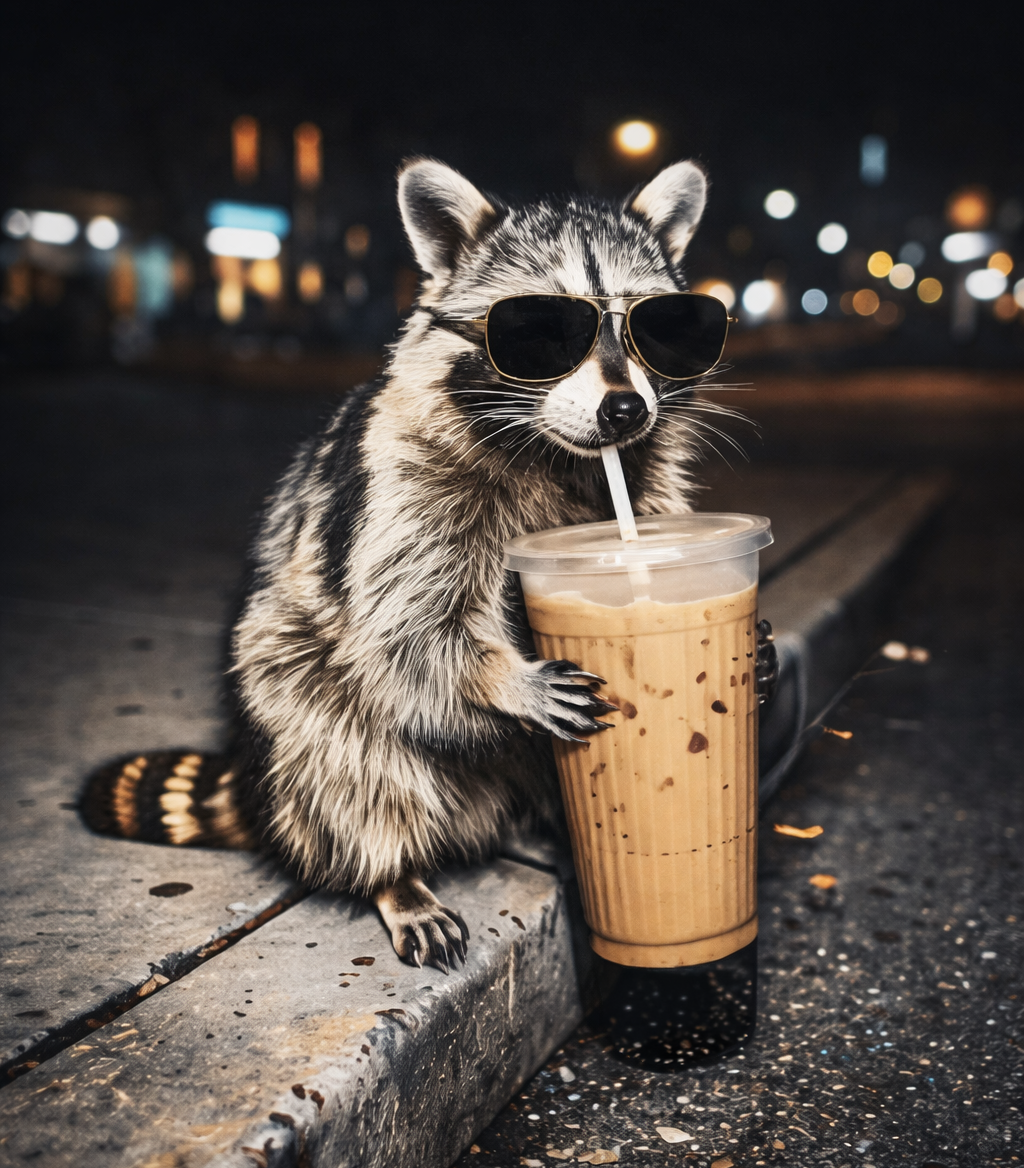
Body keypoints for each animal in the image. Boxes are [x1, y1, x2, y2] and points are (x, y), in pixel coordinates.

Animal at [82, 158, 776, 972]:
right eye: (542, 330)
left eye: (657, 328)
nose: (626, 411)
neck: (557, 453)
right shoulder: (404, 485)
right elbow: (409, 626)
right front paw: (501, 678)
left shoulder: (645, 481)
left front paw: (757, 652)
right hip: (289, 687)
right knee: (343, 746)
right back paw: (395, 874)